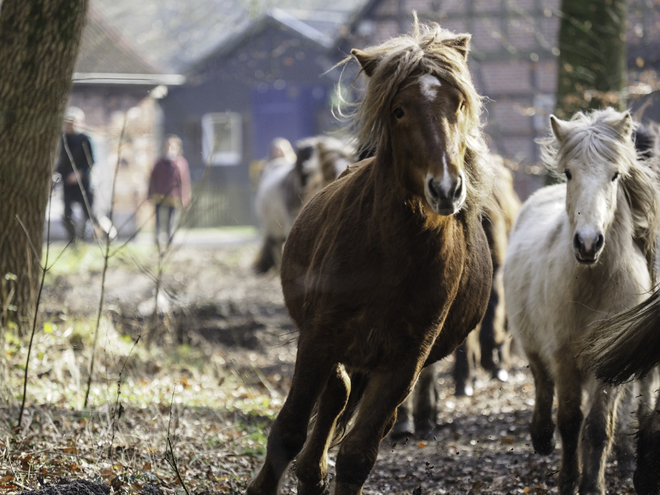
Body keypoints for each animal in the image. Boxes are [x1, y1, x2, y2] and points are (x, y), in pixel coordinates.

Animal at [248, 16, 496, 495]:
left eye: (458, 104)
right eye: (398, 111)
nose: (446, 188)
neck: (392, 254)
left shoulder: (405, 360)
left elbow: (358, 454)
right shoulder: (319, 336)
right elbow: (290, 428)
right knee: (336, 394)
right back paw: (310, 471)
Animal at [502, 108, 656, 495]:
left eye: (615, 175)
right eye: (569, 172)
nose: (588, 243)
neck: (592, 285)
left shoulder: (608, 362)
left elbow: (598, 427)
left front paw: (592, 484)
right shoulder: (563, 356)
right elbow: (570, 421)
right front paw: (569, 480)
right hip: (533, 344)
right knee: (542, 382)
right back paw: (541, 437)